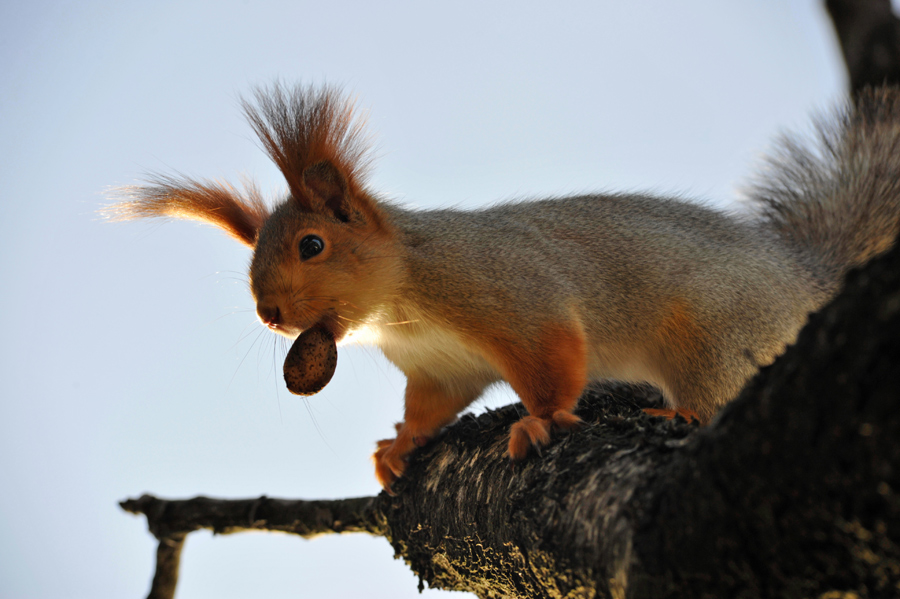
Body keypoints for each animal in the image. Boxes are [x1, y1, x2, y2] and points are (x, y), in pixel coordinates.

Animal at [105, 82, 900, 490]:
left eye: (312, 245)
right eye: (252, 261)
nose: (269, 312)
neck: (402, 303)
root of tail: (806, 282)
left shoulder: (510, 294)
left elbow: (552, 359)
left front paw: (539, 420)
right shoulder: (438, 367)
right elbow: (431, 406)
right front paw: (398, 445)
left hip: (716, 332)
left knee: (716, 385)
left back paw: (680, 413)